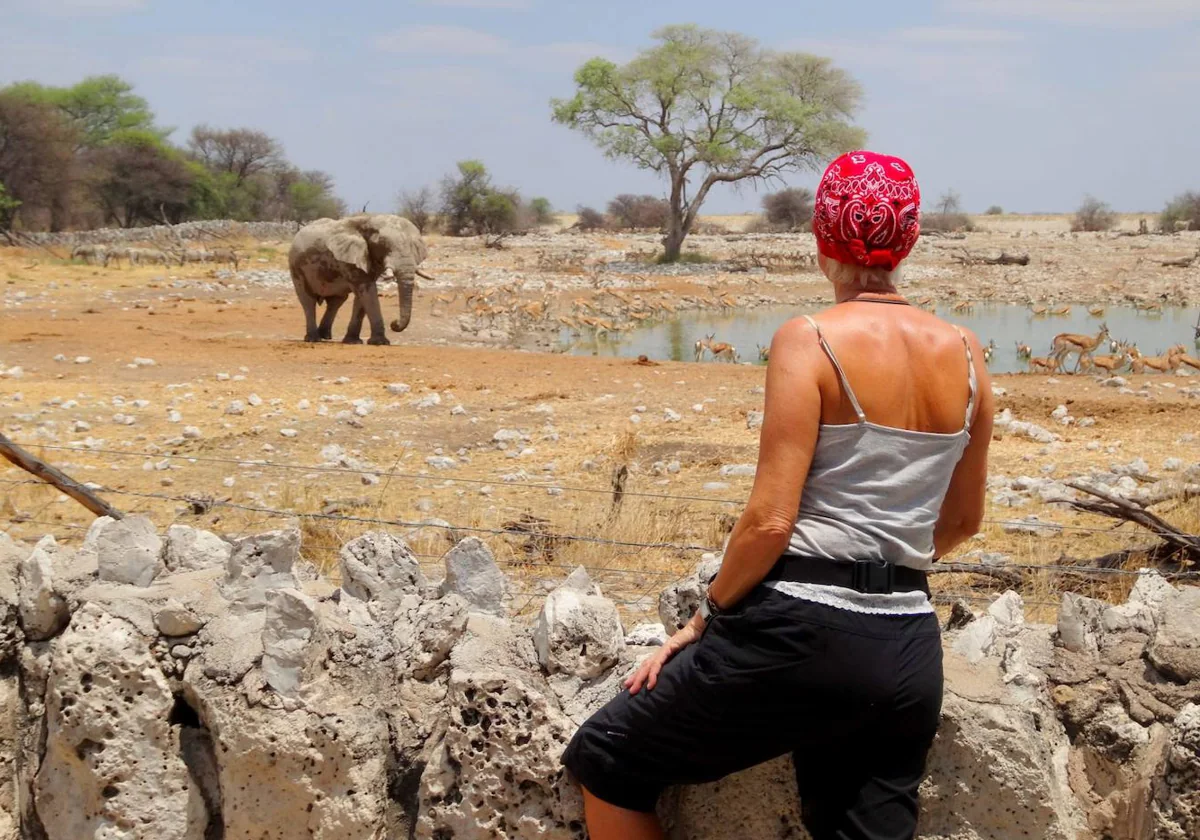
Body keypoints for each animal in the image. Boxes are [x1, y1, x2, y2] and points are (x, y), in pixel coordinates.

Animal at [286, 213, 427, 345]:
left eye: (413, 245)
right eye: (382, 244)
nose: (394, 323)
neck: (369, 219)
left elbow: (362, 296)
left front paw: (353, 341)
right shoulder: (349, 259)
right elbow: (368, 291)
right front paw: (380, 343)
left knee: (336, 301)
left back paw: (325, 336)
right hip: (296, 267)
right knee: (307, 300)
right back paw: (313, 339)